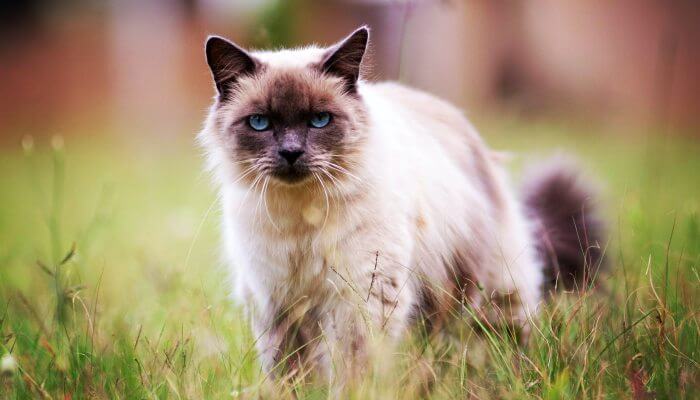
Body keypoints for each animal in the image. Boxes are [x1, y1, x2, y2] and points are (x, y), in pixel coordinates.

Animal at [197, 25, 600, 384]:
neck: (302, 215)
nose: (291, 153)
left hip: (491, 292)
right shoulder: (278, 303)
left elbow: (354, 370)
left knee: (498, 344)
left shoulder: (363, 295)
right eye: (260, 123)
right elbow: (290, 375)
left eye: (320, 120)